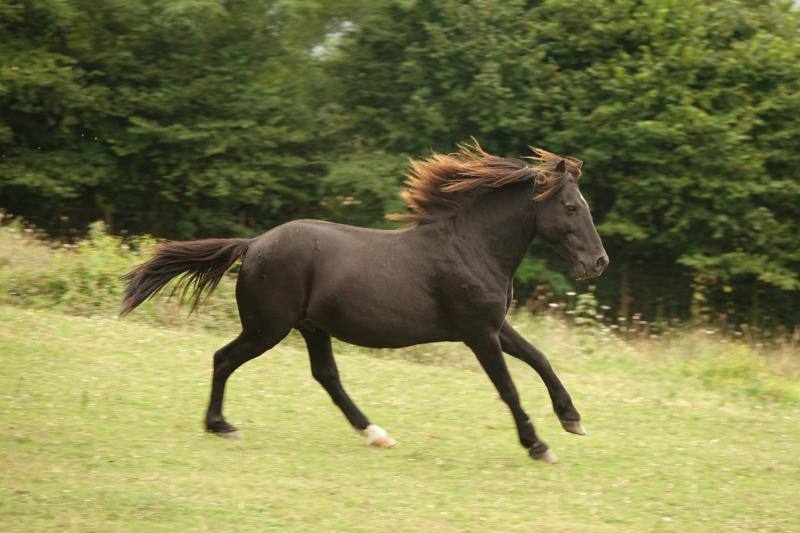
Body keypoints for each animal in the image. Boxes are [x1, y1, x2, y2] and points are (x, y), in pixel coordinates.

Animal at [120, 141, 608, 462]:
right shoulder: (478, 333)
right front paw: (538, 445)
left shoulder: (494, 326)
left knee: (326, 377)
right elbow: (508, 387)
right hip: (267, 328)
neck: (471, 246)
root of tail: (254, 243)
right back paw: (220, 426)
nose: (599, 262)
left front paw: (572, 419)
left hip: (311, 327)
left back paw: (376, 434)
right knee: (224, 358)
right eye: (571, 207)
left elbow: (540, 359)